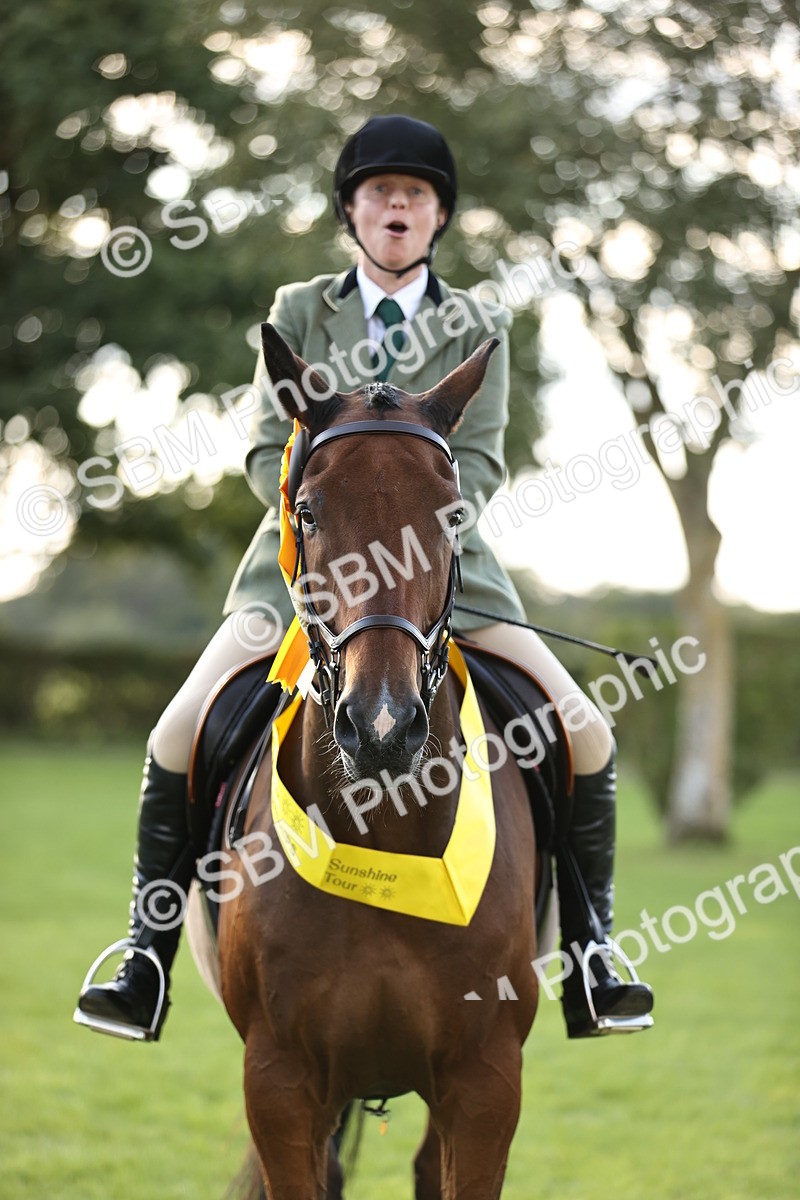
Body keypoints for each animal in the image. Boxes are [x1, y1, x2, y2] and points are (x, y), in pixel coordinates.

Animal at [212, 324, 546, 1199]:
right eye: (307, 512)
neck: (385, 830)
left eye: (453, 514)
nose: (384, 728)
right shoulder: (279, 1083)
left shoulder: (486, 1083)